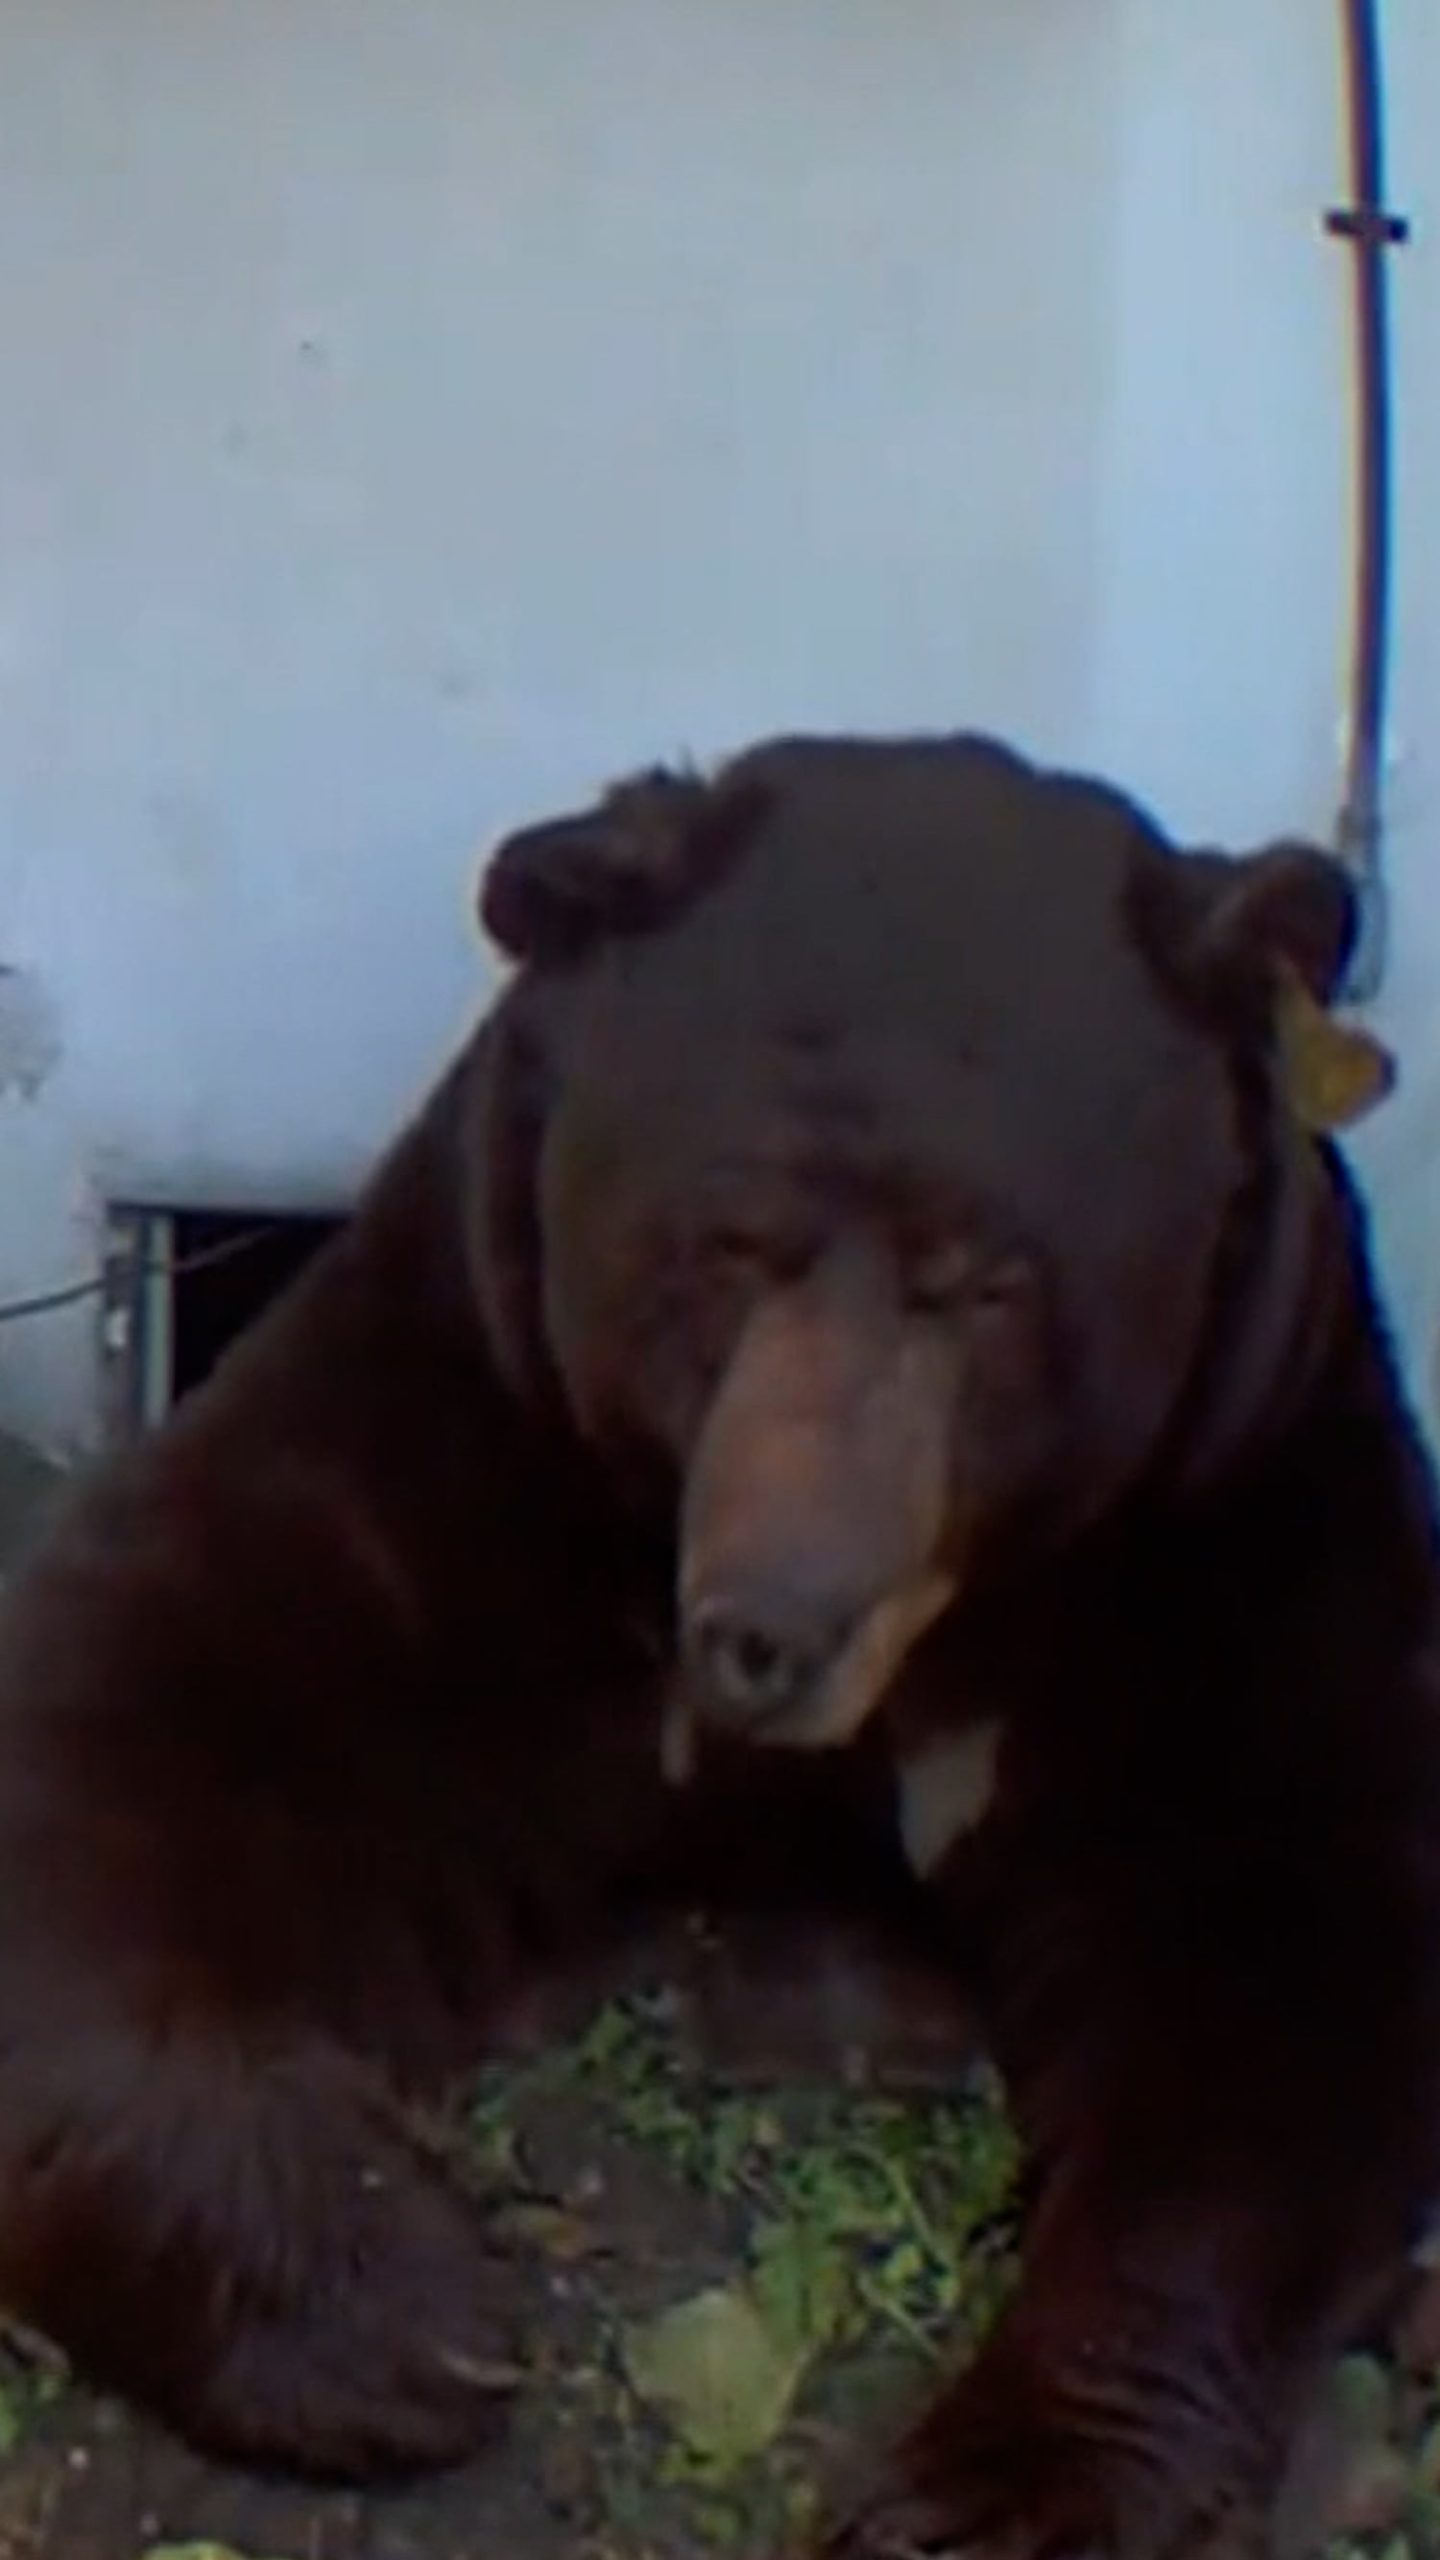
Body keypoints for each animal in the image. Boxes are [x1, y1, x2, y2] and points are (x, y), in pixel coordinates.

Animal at [0, 729, 1435, 2560]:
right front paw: (400, 2309)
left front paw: (991, 2490)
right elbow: (145, 1699)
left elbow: (1279, 1937)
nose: (770, 1629)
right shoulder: (476, 1416)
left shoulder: (1226, 1512)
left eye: (991, 1283)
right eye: (728, 1244)